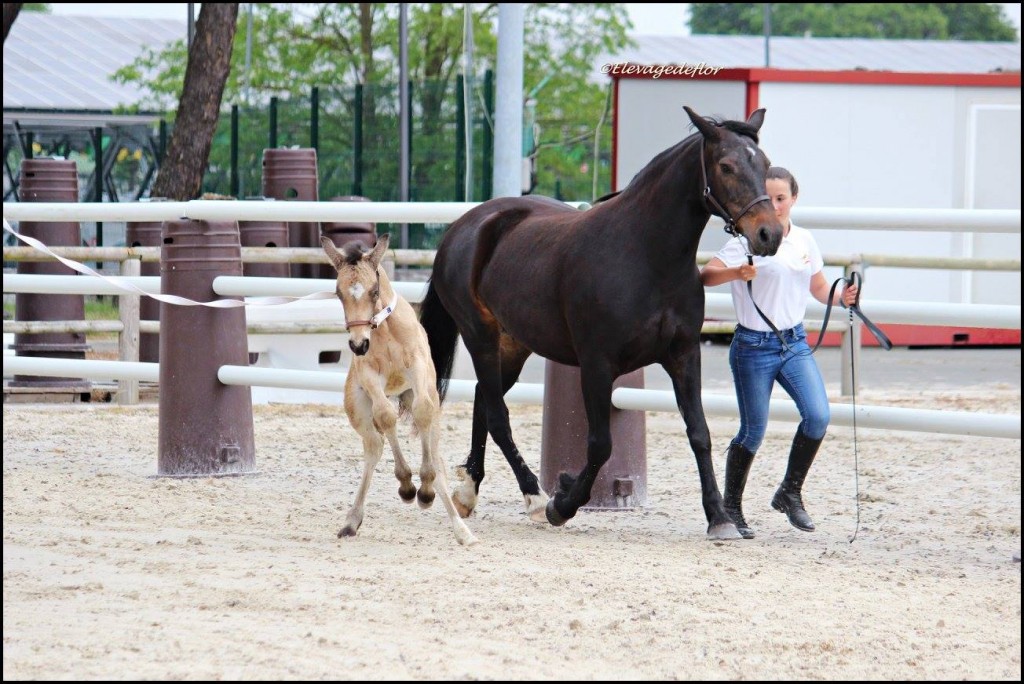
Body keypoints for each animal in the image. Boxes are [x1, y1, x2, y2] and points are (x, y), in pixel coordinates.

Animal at [419, 105, 778, 540]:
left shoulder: (684, 356)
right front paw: (562, 504)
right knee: (498, 417)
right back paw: (534, 497)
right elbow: (600, 444)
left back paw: (470, 491)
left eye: (765, 164)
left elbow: (700, 434)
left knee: (483, 402)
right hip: (480, 336)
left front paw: (719, 518)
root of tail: (464, 226)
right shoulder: (596, 365)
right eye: (726, 166)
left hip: (515, 343)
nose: (769, 234)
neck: (646, 254)